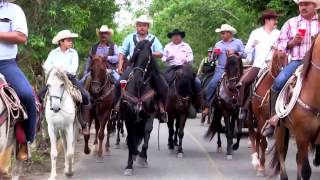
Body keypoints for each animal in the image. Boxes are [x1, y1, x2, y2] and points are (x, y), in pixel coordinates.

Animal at [248, 48, 288, 176]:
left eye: (288, 57)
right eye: (279, 57)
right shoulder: (261, 118)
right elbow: (262, 140)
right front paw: (261, 167)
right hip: (250, 116)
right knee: (254, 134)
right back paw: (256, 160)